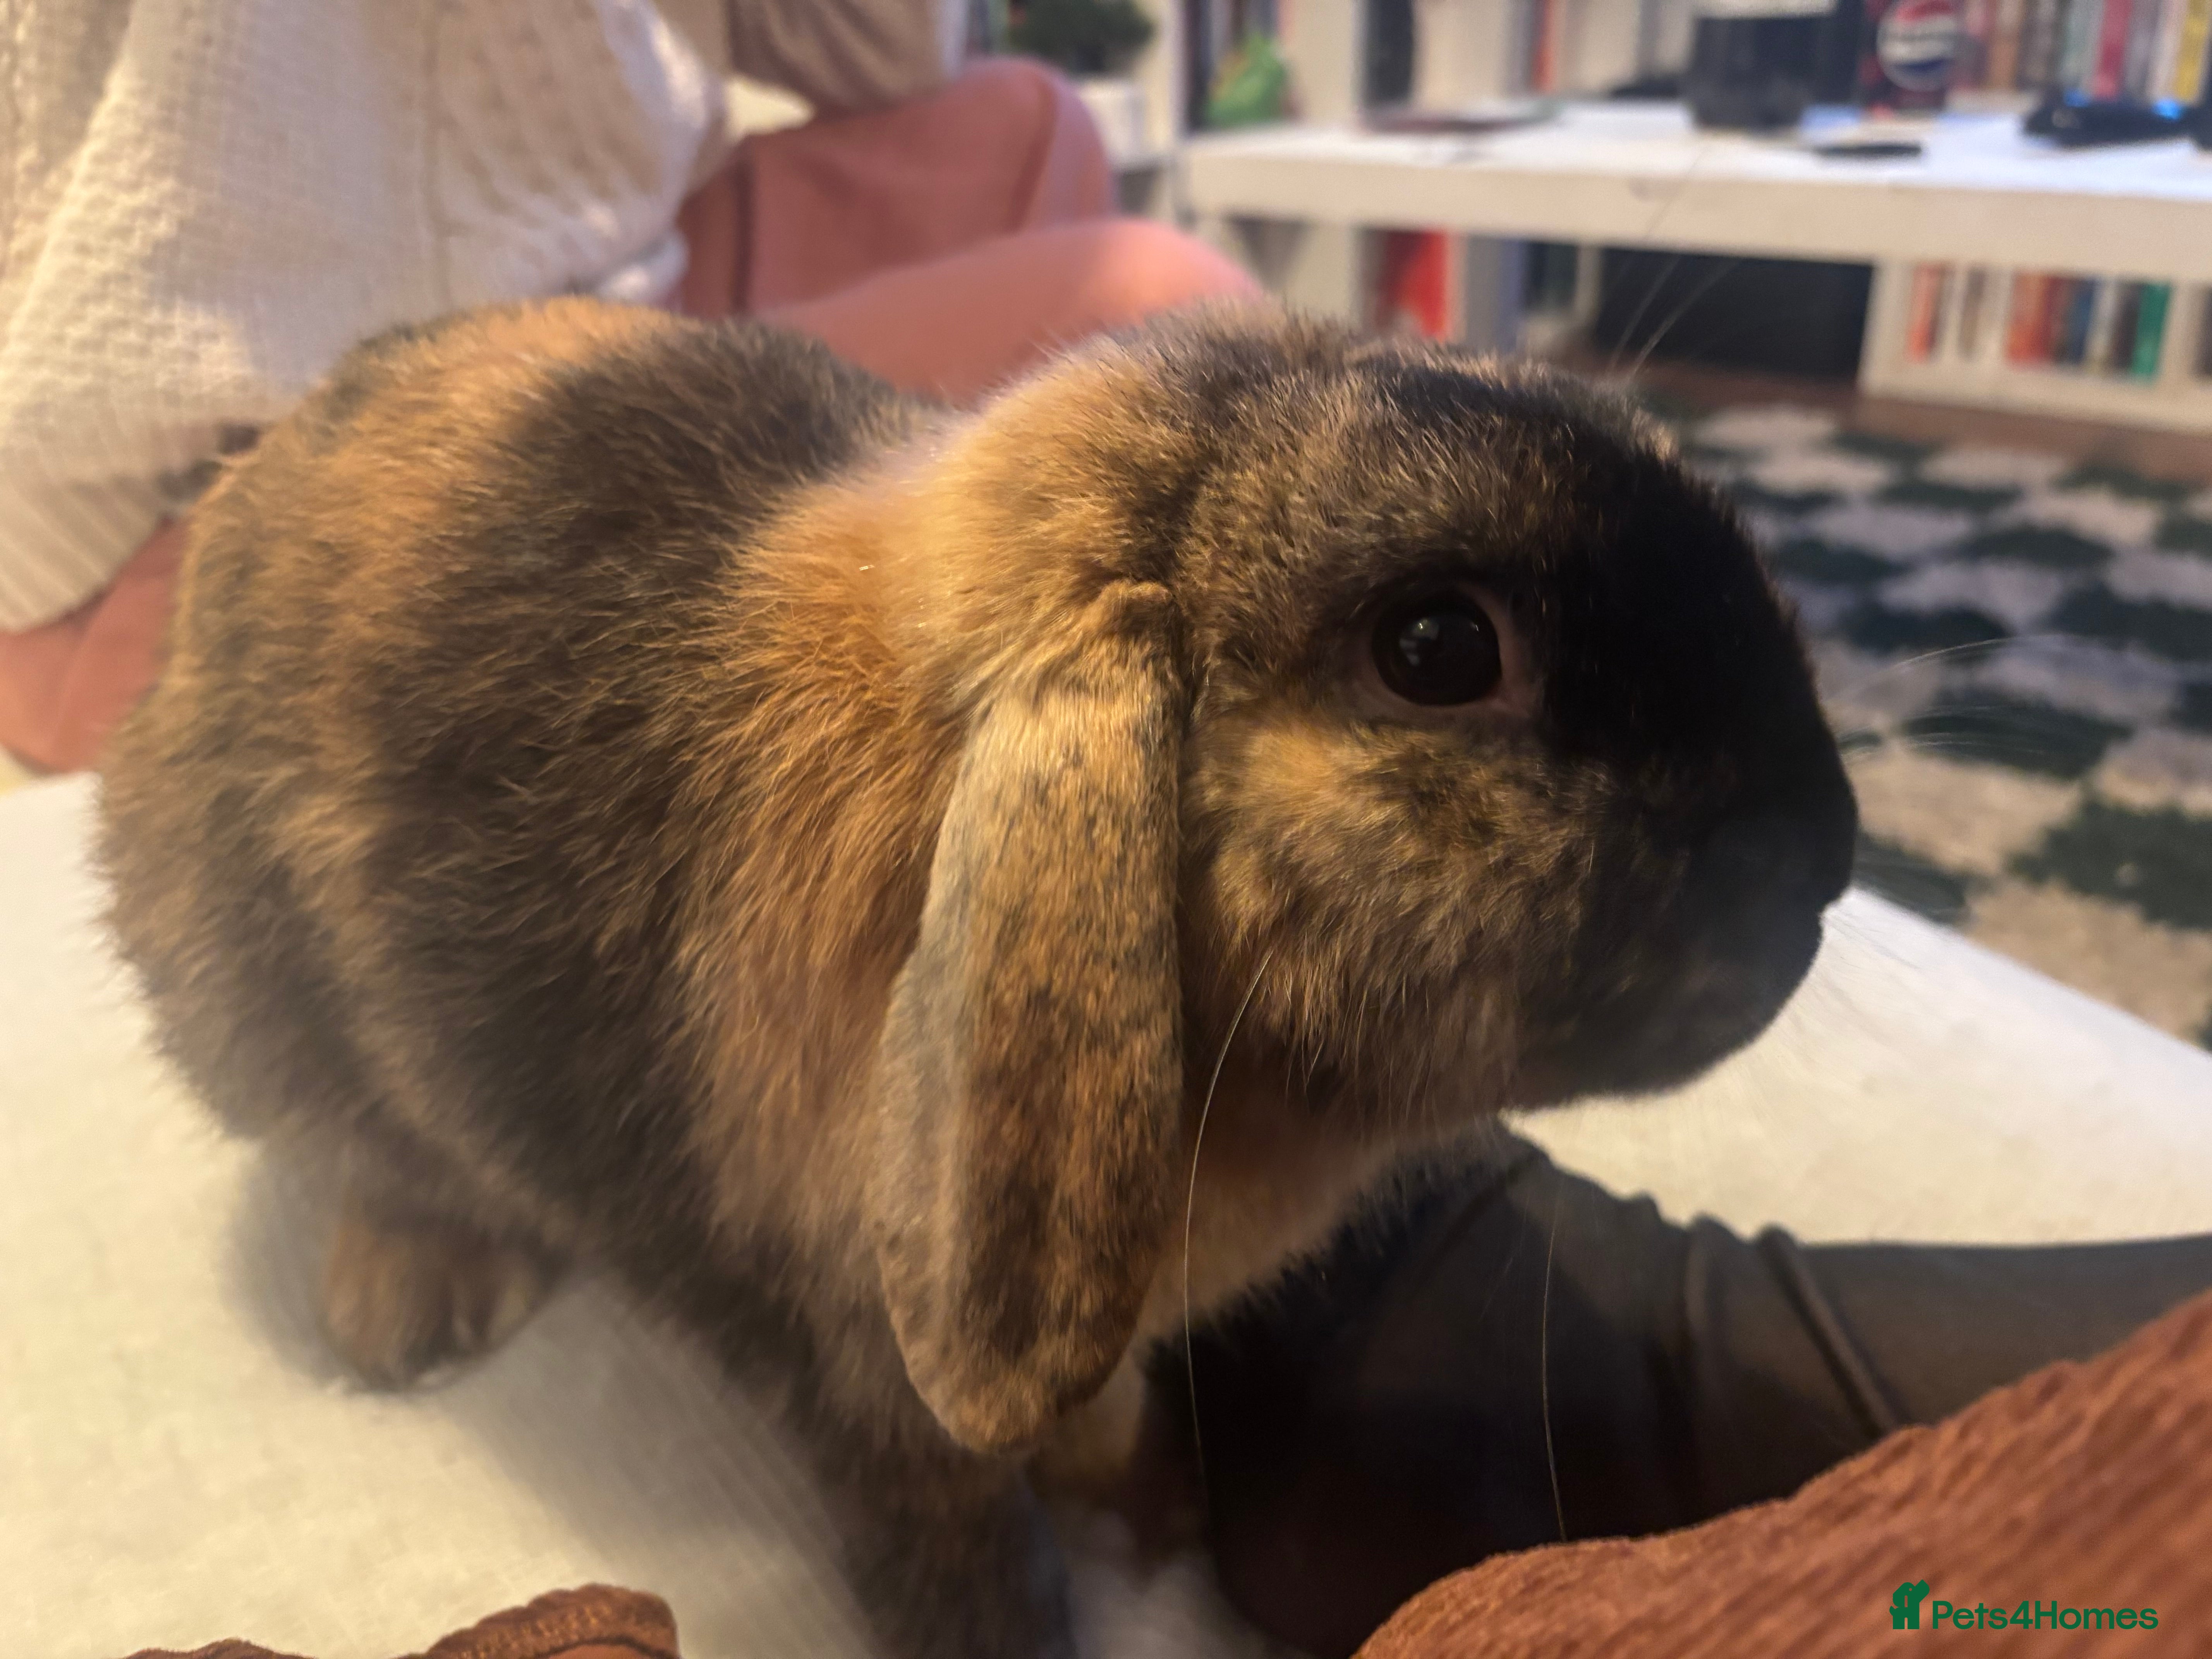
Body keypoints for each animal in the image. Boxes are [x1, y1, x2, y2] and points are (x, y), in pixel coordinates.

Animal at [98, 296, 1857, 1659]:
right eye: (1439, 650)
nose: (1831, 854)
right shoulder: (866, 1374)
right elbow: (948, 1532)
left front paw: (1142, 1504)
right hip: (260, 1021)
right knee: (373, 1160)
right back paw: (409, 1311)